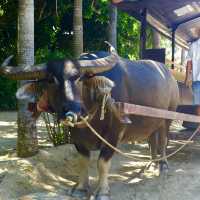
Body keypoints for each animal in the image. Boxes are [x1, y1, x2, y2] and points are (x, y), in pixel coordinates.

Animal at [0, 45, 180, 200]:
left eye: (79, 78)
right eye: (51, 80)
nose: (73, 110)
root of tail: (169, 75)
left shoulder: (114, 134)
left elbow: (102, 163)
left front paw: (102, 191)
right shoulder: (77, 137)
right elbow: (83, 161)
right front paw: (80, 188)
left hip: (168, 117)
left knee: (163, 140)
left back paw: (163, 165)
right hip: (153, 122)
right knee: (152, 140)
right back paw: (151, 164)